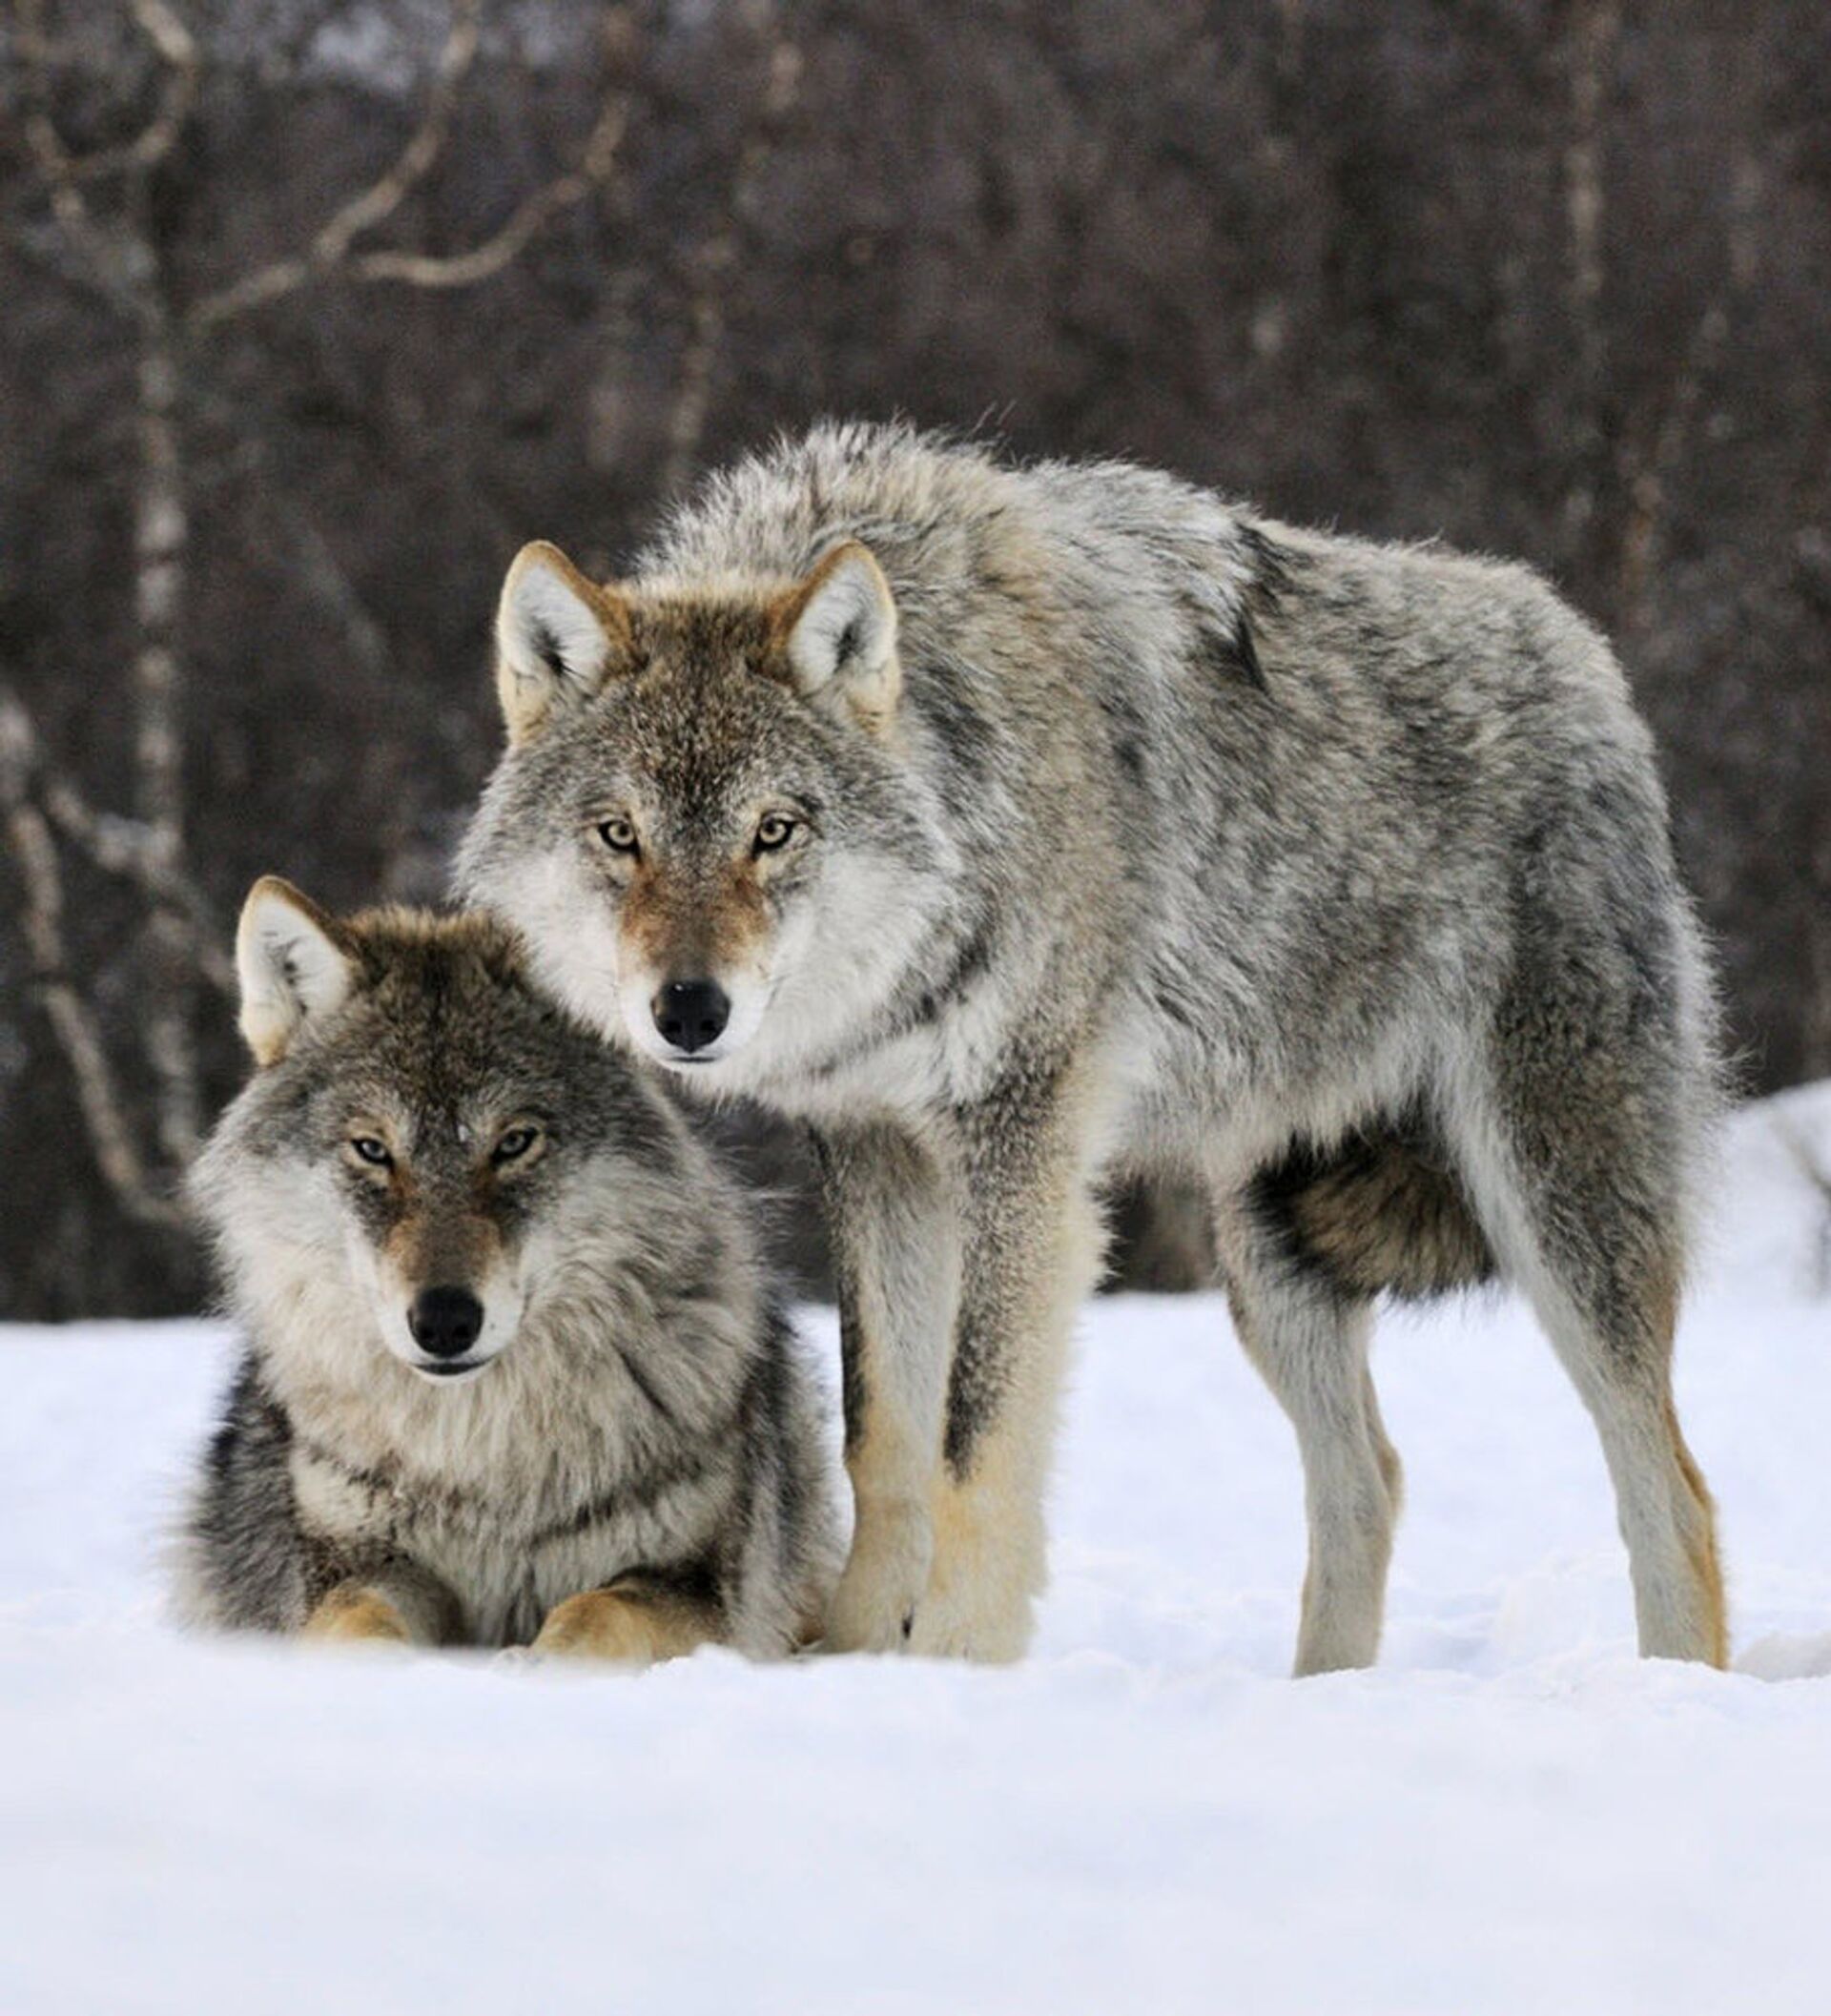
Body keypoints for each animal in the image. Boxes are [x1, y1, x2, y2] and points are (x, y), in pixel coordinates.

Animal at [171, 878, 834, 1653]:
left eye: (514, 1142)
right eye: (372, 1150)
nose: (444, 1322)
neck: (483, 1461)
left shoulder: (690, 1583)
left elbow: (593, 1613)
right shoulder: (356, 1565)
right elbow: (359, 1625)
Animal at [458, 421, 1734, 1669]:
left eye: (773, 831)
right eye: (619, 833)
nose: (689, 1011)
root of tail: (1586, 658)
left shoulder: (1022, 1148)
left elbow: (974, 1441)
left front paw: (956, 1665)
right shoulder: (879, 1152)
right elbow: (883, 1437)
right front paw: (859, 1659)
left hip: (1555, 1213)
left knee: (1673, 1488)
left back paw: (1670, 1683)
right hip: (1270, 1259)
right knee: (1369, 1480)